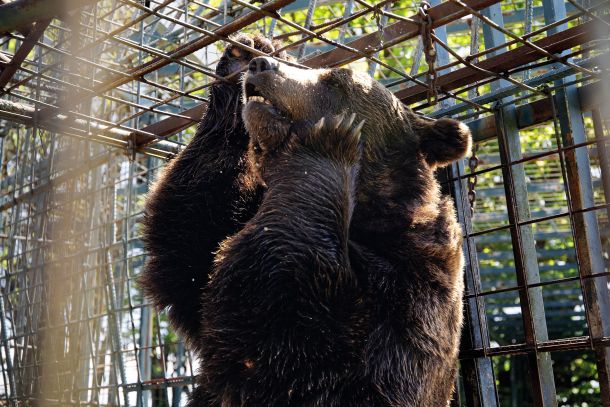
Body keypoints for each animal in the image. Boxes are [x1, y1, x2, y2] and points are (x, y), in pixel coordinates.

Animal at [192, 58, 468, 407]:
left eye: (336, 79)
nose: (261, 65)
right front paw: (236, 63)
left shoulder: (413, 290)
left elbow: (297, 333)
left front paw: (328, 140)